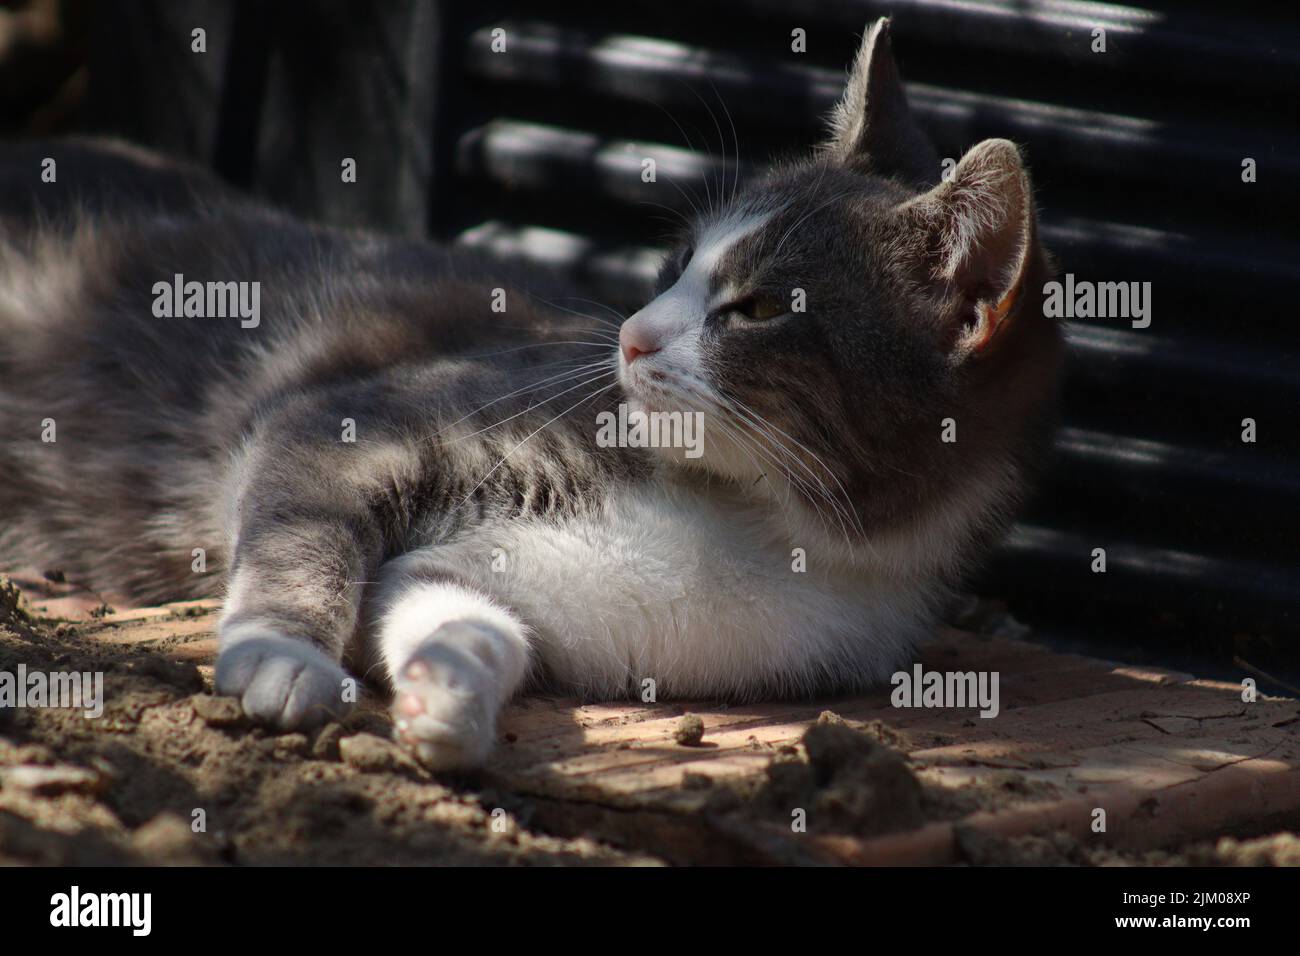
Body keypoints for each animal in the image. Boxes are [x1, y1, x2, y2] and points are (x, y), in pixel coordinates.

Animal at [0, 18, 1060, 770]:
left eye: (758, 307)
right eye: (677, 262)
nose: (632, 334)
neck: (763, 518)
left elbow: (457, 608)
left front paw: (444, 697)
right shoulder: (359, 414)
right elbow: (306, 528)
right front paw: (280, 658)